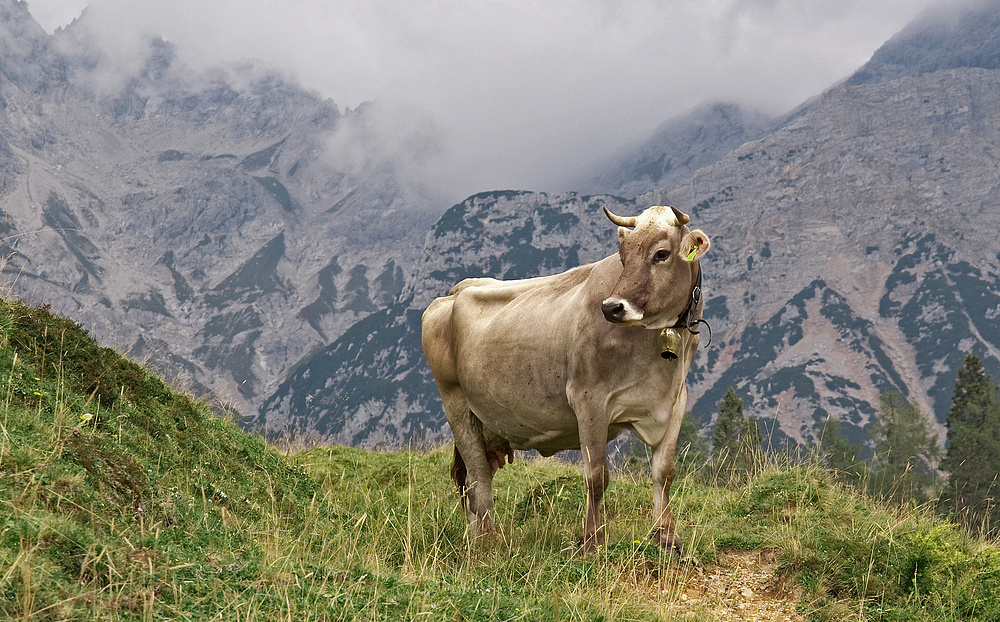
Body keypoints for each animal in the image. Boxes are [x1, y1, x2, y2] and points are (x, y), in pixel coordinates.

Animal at [422, 205, 712, 556]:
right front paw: (591, 542)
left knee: (473, 480)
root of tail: (455, 292)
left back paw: (478, 535)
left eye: (661, 254)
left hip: (488, 422)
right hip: (456, 404)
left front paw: (667, 538)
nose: (612, 307)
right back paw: (487, 541)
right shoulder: (589, 399)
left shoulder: (674, 400)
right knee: (478, 478)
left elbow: (664, 472)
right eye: (623, 255)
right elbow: (596, 476)